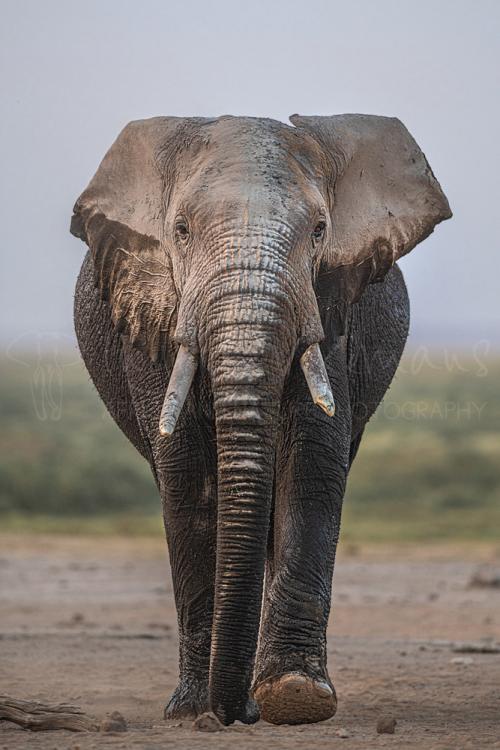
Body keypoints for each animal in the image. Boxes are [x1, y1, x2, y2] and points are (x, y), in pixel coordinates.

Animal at [71, 116, 454, 728]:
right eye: (180, 231)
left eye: (320, 230)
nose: (239, 715)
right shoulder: (153, 318)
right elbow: (188, 479)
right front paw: (195, 708)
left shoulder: (331, 306)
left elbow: (312, 464)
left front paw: (296, 697)